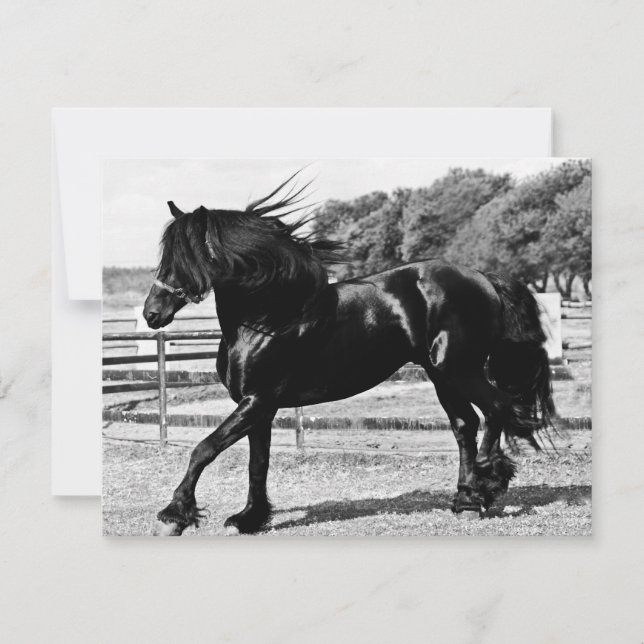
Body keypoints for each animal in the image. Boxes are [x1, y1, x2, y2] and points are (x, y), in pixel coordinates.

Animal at [142, 174, 555, 536]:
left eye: (188, 257)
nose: (151, 314)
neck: (268, 318)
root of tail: (484, 278)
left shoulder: (257, 401)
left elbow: (204, 449)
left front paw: (174, 516)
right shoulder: (258, 407)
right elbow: (257, 463)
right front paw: (249, 518)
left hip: (459, 369)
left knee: (496, 408)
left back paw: (487, 482)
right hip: (442, 374)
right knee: (465, 425)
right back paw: (466, 501)